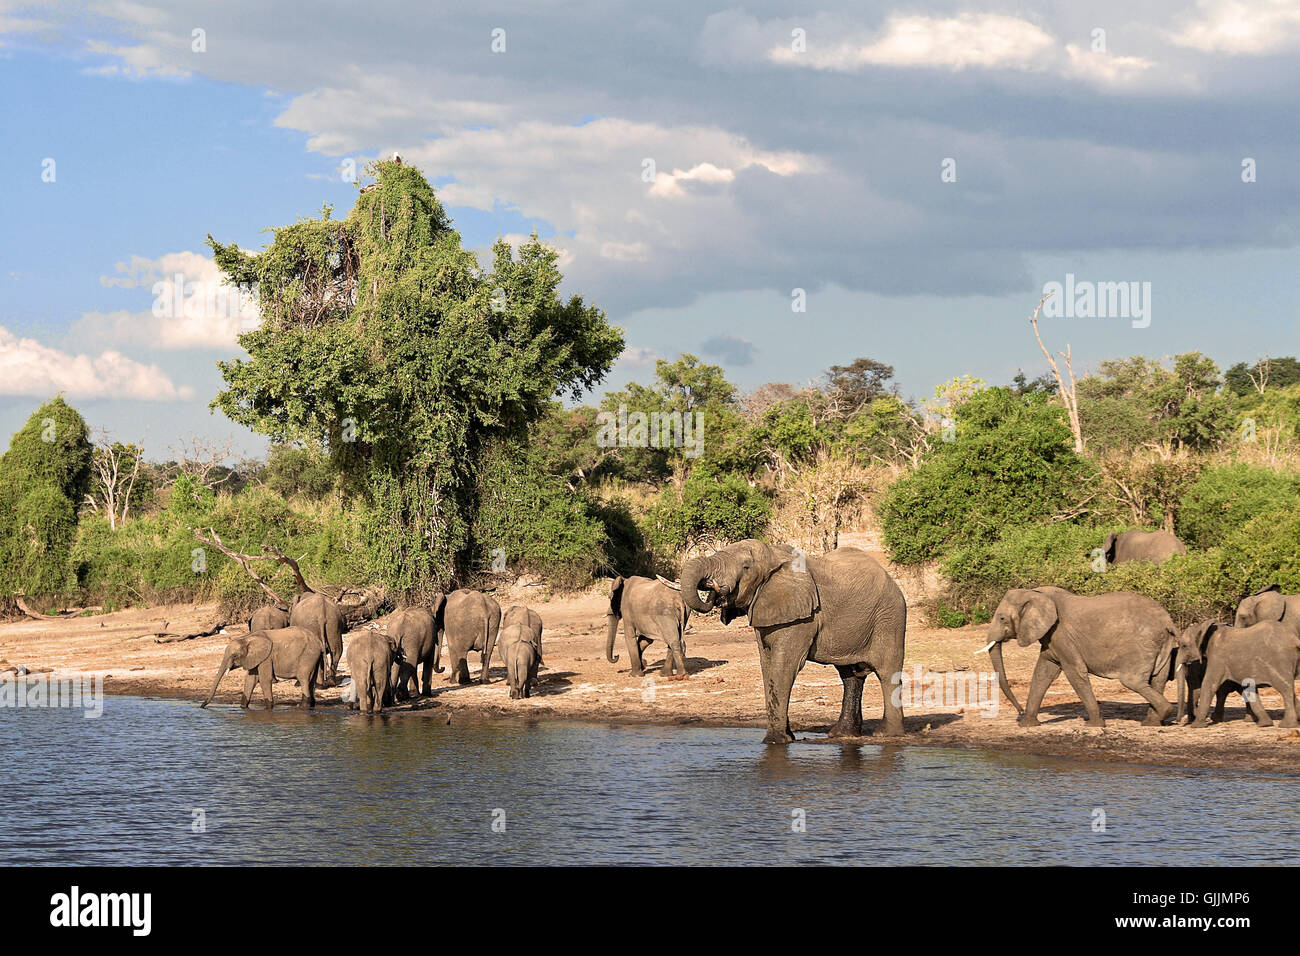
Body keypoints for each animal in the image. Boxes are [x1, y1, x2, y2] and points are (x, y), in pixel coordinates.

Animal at [681, 541, 904, 743]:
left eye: (746, 567)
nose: (714, 587)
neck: (773, 555)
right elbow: (767, 666)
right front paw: (787, 737)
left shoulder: (802, 617)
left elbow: (784, 666)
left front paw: (775, 741)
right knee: (850, 676)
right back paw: (842, 735)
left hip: (889, 617)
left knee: (887, 672)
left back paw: (886, 734)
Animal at [982, 587, 1180, 728]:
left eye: (1002, 618)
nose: (1019, 712)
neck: (1035, 593)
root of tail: (1168, 622)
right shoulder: (1052, 637)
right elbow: (1043, 672)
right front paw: (1027, 725)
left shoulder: (1061, 633)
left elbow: (1075, 672)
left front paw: (1093, 725)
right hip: (1163, 645)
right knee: (1158, 680)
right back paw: (1153, 723)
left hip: (1142, 646)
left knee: (1133, 681)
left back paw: (1163, 712)